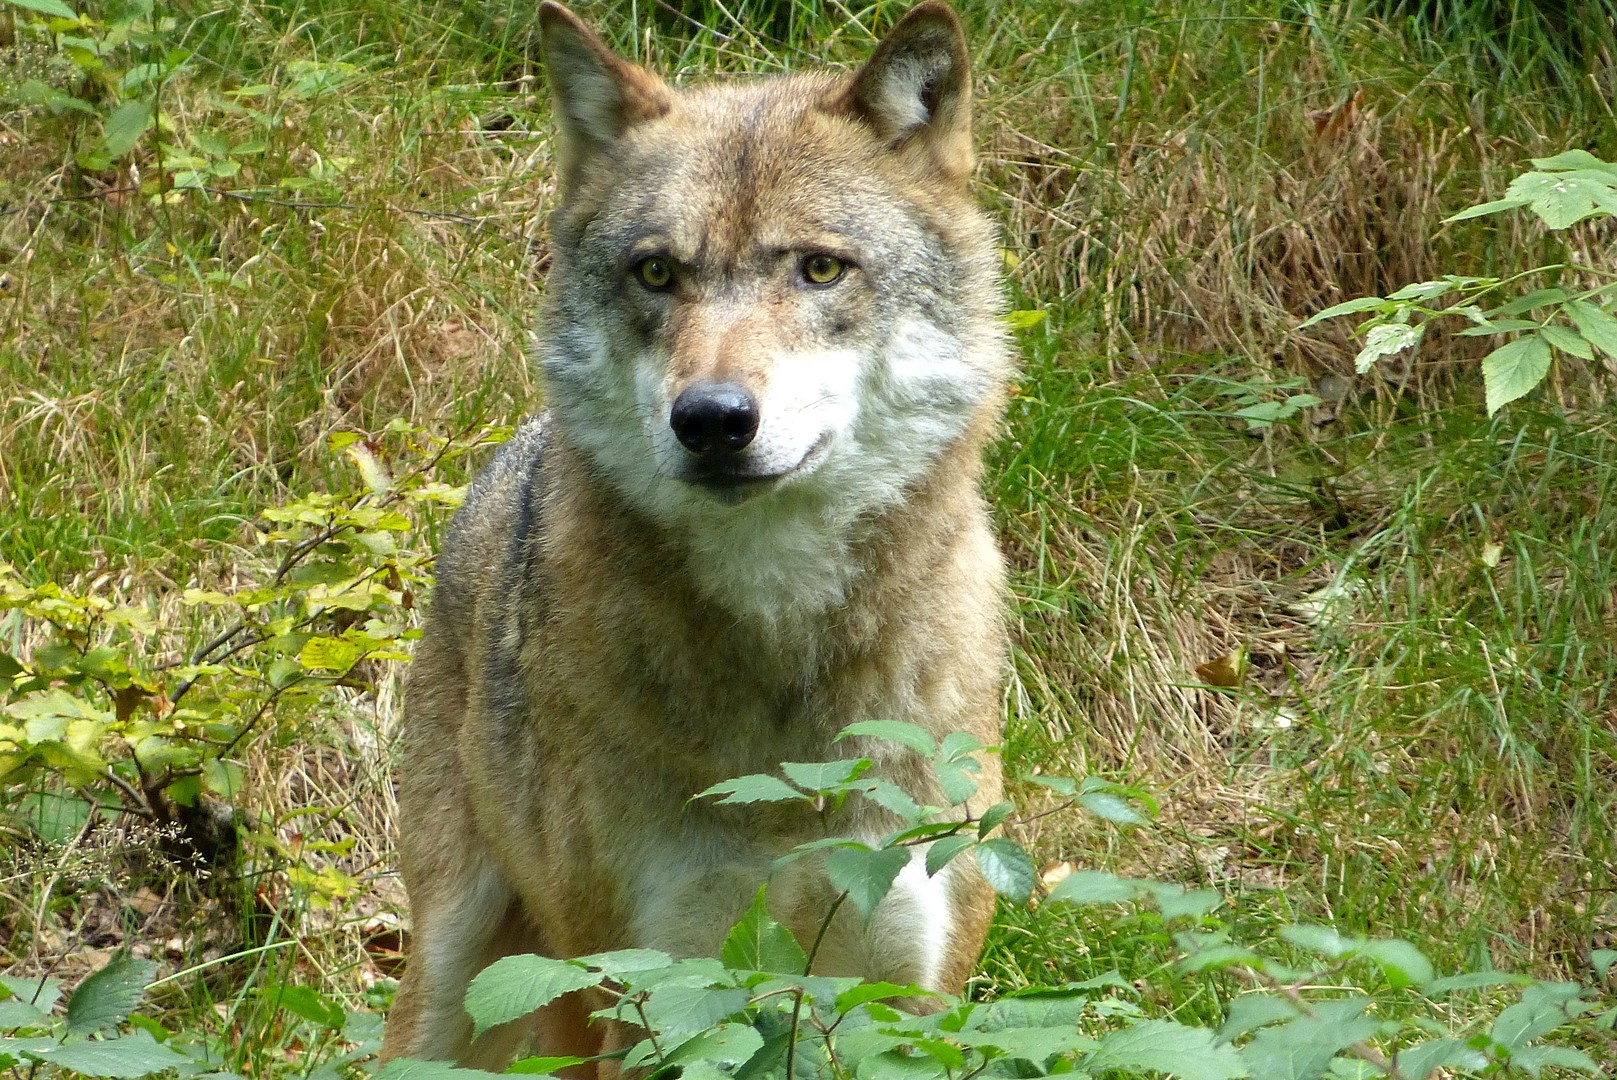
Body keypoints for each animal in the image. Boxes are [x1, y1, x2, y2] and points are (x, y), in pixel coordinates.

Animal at [379, 1, 1012, 1071]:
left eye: (819, 268)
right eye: (657, 273)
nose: (712, 419)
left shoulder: (913, 1002)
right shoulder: (640, 991)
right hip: (463, 977)